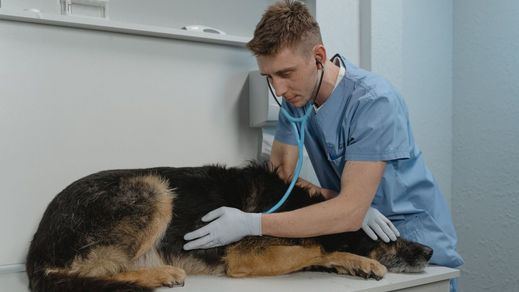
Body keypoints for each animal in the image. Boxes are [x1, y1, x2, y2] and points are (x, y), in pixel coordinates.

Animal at [27, 161, 434, 290]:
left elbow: (316, 251)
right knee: (89, 272)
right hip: (154, 188)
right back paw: (160, 275)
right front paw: (361, 259)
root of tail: (36, 249)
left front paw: (355, 263)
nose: (430, 251)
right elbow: (316, 247)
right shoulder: (245, 258)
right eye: (392, 237)